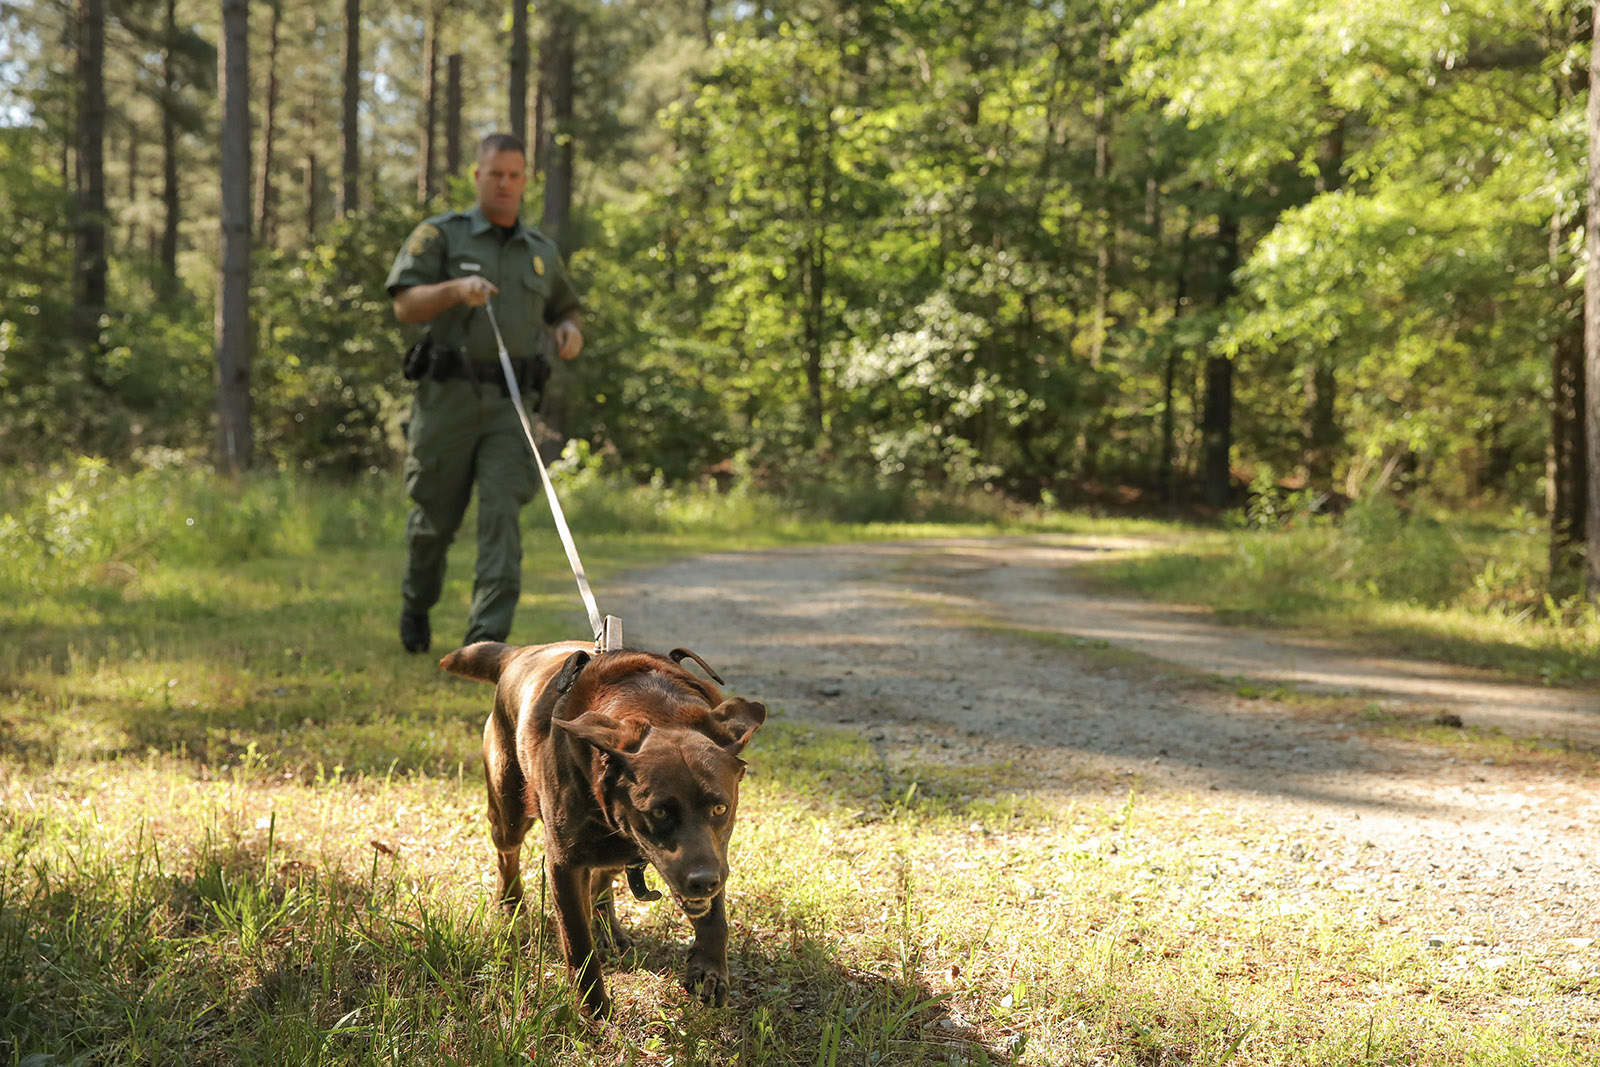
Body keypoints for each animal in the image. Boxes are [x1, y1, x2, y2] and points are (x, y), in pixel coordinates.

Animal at [435, 643, 764, 1017]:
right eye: (660, 812)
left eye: (720, 808)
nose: (702, 881)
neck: (656, 708)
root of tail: (519, 653)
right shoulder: (564, 863)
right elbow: (577, 939)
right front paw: (593, 1006)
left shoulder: (715, 851)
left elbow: (715, 915)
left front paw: (708, 968)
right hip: (509, 808)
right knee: (508, 852)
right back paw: (510, 904)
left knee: (604, 876)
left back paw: (607, 927)